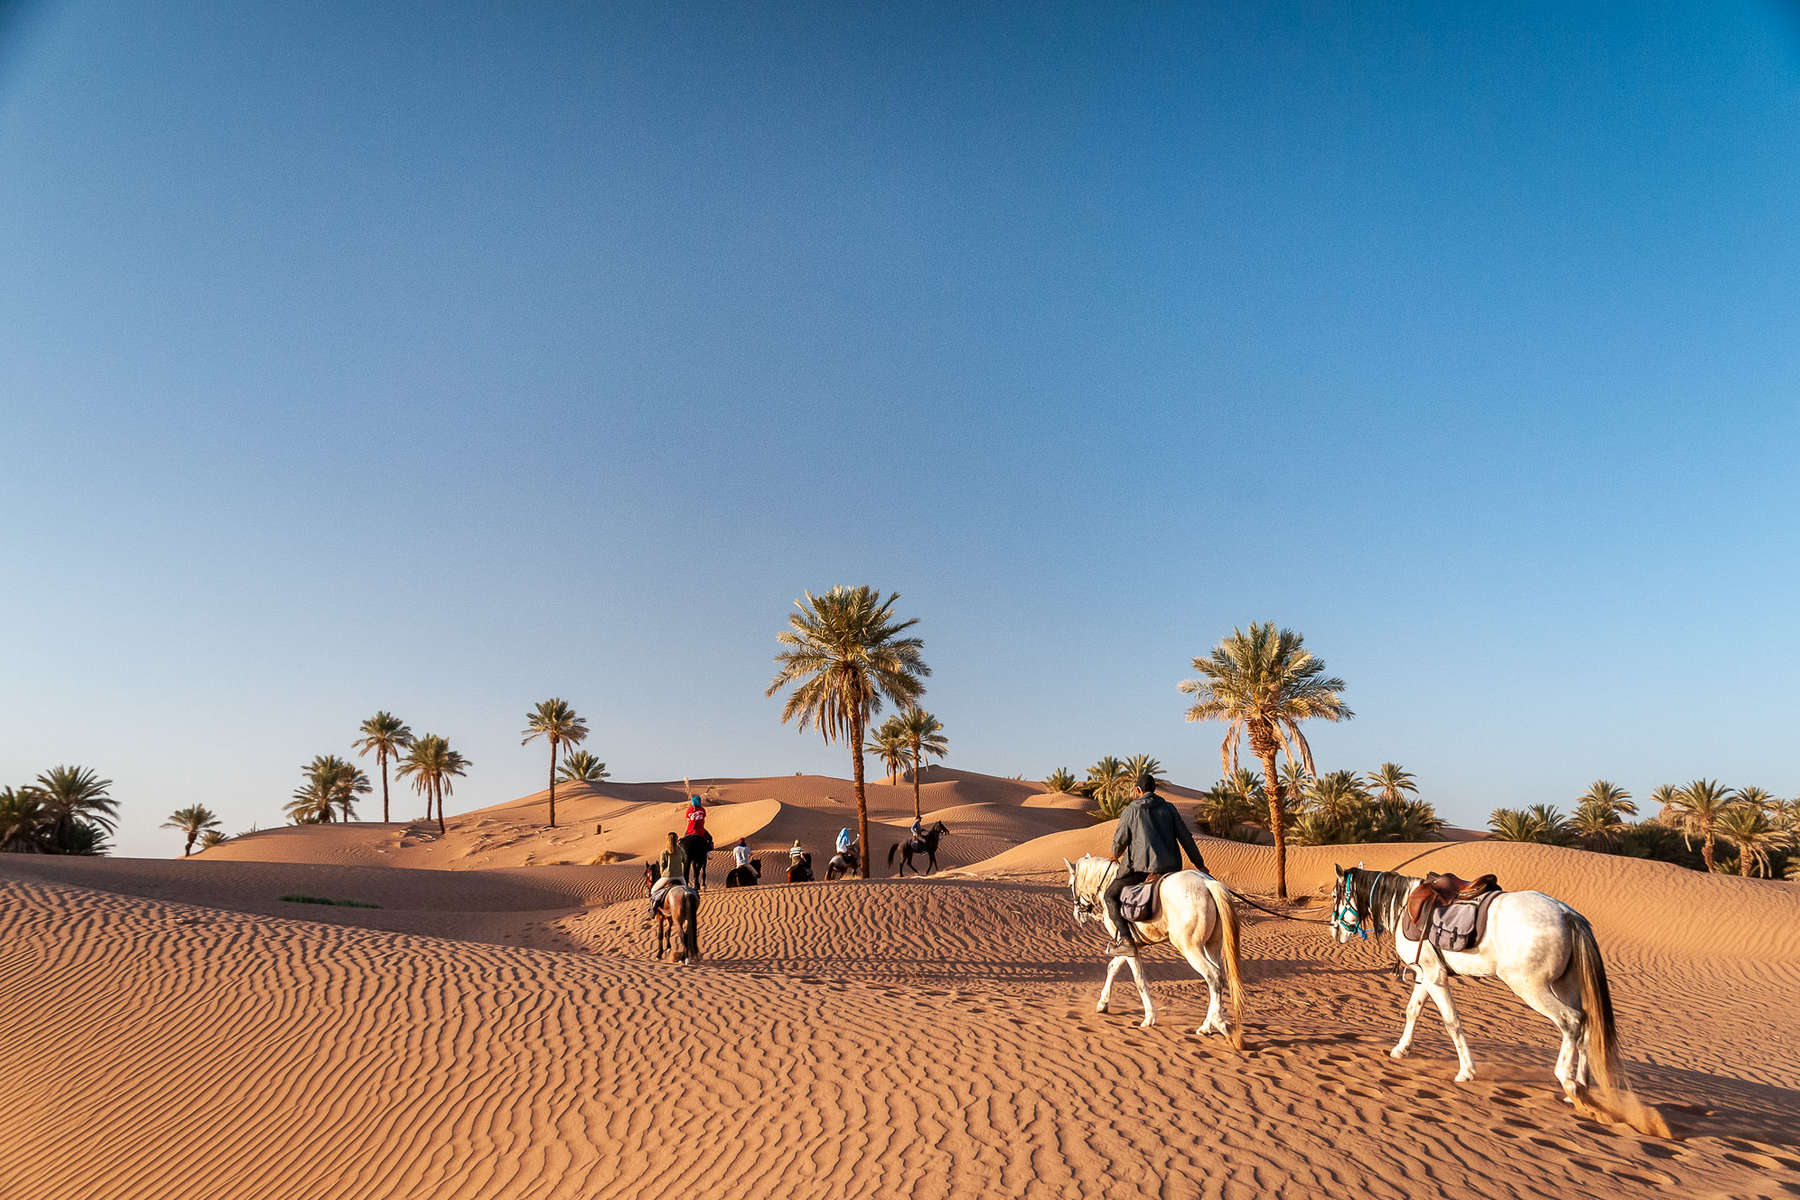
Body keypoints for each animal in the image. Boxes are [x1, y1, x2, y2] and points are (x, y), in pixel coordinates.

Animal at [1058, 859, 1245, 1043]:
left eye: (1070, 884)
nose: (1077, 914)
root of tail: (1207, 883)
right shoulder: (1131, 945)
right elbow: (1112, 967)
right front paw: (1102, 1004)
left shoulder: (1129, 946)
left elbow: (1139, 980)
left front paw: (1149, 1017)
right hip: (1212, 945)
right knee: (1219, 976)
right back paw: (1211, 1023)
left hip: (1190, 947)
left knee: (1213, 976)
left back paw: (1214, 1024)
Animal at [1332, 863, 1663, 1137]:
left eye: (1335, 895)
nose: (1335, 931)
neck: (1403, 904)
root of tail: (1569, 916)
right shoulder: (1427, 973)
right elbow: (1412, 1010)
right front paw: (1401, 1050)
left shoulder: (1435, 977)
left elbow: (1451, 1022)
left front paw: (1466, 1070)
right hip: (1564, 985)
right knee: (1585, 1024)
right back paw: (1579, 1087)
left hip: (1530, 986)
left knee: (1571, 1021)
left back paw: (1567, 1080)